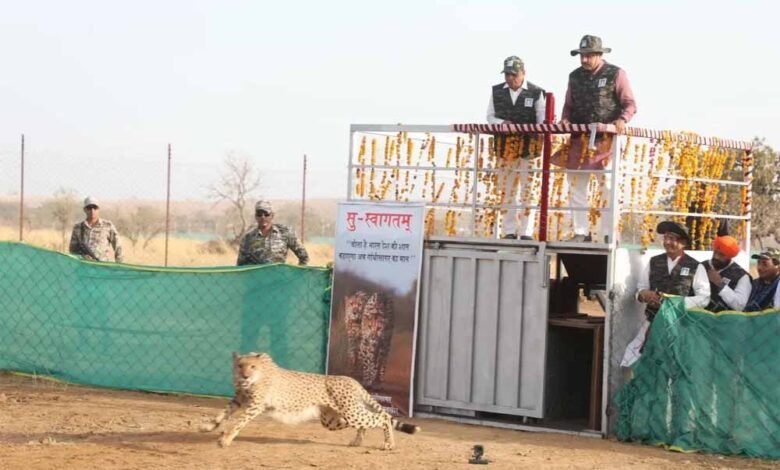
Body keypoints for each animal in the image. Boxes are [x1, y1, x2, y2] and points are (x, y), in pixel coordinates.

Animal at [200, 352, 419, 450]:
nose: (244, 376)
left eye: (252, 366)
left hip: (350, 412)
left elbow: (238, 422)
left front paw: (225, 439)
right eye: (240, 365)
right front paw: (208, 426)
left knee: (383, 417)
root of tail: (351, 379)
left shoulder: (255, 405)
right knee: (365, 422)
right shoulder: (238, 399)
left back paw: (389, 444)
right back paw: (357, 441)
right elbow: (223, 413)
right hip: (333, 419)